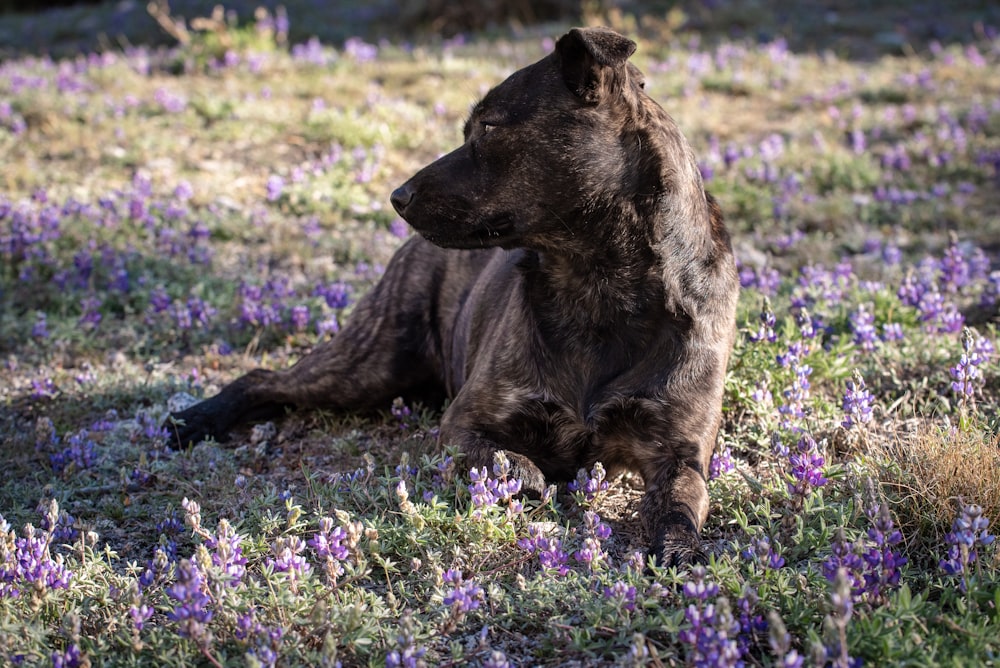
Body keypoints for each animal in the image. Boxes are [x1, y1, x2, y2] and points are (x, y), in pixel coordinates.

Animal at [170, 28, 736, 568]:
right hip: (367, 366)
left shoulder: (679, 453)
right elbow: (506, 461)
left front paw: (680, 550)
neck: (597, 286)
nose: (397, 197)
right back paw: (195, 419)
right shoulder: (465, 422)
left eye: (488, 127)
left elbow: (681, 504)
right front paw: (525, 479)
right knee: (265, 378)